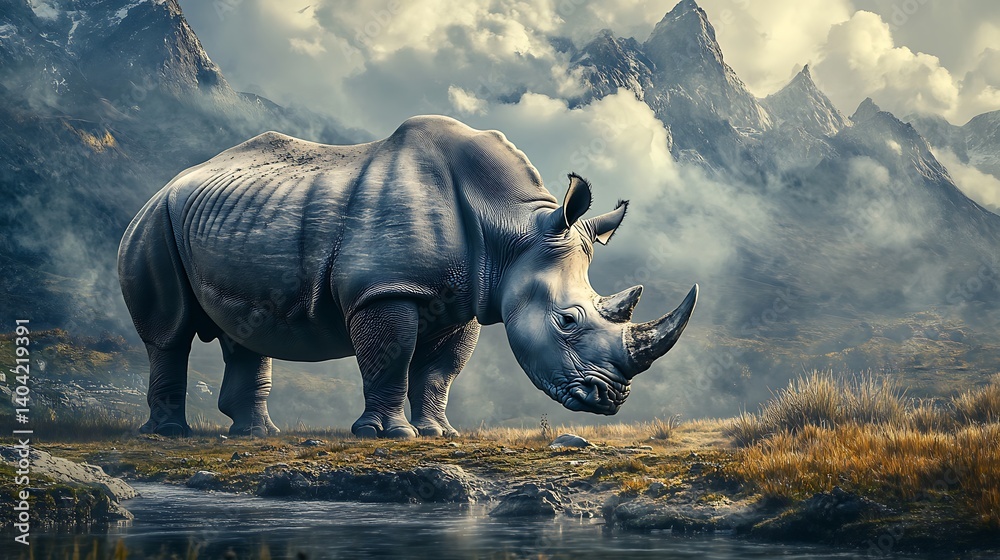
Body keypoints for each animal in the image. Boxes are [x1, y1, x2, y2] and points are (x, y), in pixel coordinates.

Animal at [118, 115, 697, 439]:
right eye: (568, 321)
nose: (611, 400)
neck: (512, 231)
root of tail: (168, 183)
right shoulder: (385, 289)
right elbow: (392, 359)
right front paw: (389, 436)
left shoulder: (464, 301)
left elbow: (439, 371)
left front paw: (439, 434)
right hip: (152, 223)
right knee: (169, 333)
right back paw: (171, 435)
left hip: (231, 217)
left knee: (245, 330)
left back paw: (255, 435)